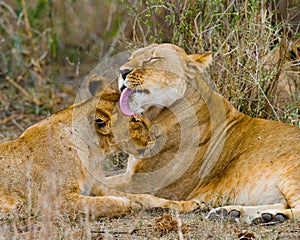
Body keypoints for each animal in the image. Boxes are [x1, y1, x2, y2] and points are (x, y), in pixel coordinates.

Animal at [116, 43, 300, 225]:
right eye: (131, 57)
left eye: (154, 59)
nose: (122, 71)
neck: (154, 116)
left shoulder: (148, 181)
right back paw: (237, 213)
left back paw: (272, 216)